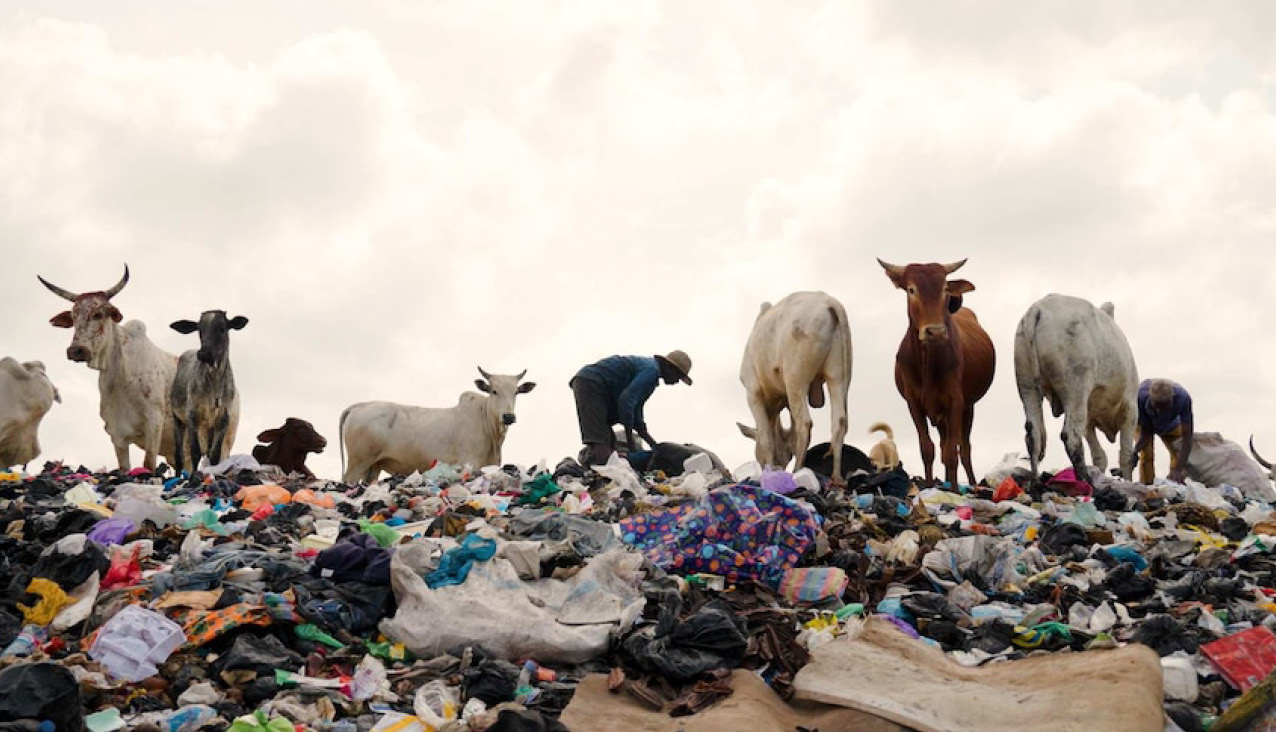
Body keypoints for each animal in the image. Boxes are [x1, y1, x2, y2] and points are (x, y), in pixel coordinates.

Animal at [38, 267, 178, 469]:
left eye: (98, 314)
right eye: (73, 317)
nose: (76, 351)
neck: (122, 372)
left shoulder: (154, 423)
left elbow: (148, 464)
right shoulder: (117, 433)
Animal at [168, 311, 247, 476]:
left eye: (222, 328)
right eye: (199, 330)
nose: (204, 353)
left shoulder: (223, 419)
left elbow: (215, 454)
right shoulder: (192, 416)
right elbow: (195, 451)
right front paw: (192, 477)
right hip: (178, 419)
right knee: (179, 455)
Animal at [339, 369, 533, 484]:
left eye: (516, 392)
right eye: (494, 391)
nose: (508, 416)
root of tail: (359, 406)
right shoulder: (469, 463)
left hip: (374, 466)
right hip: (358, 462)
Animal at [734, 289, 852, 484]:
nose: (779, 466)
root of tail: (830, 303)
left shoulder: (752, 392)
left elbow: (767, 437)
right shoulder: (787, 399)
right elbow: (793, 435)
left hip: (795, 379)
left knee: (805, 422)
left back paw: (798, 471)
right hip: (837, 377)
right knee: (839, 421)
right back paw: (836, 477)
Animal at [877, 257, 995, 487]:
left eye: (944, 289)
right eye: (911, 290)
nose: (936, 332)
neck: (927, 361)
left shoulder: (956, 401)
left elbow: (951, 453)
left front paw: (954, 491)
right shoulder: (914, 403)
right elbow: (928, 450)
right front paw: (930, 487)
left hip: (968, 408)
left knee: (963, 449)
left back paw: (971, 484)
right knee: (943, 444)